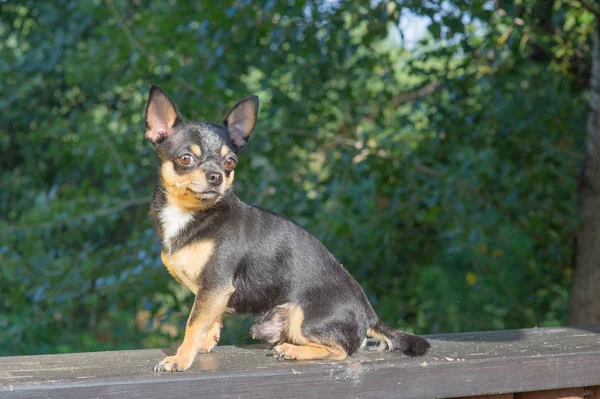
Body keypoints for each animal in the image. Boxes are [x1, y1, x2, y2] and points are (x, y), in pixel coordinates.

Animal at [144, 83, 426, 372]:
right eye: (185, 158)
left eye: (230, 162)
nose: (216, 176)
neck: (192, 214)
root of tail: (369, 315)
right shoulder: (213, 291)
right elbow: (208, 319)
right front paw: (205, 342)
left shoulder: (216, 284)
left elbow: (193, 323)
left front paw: (180, 358)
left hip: (304, 318)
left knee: (341, 352)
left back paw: (292, 351)